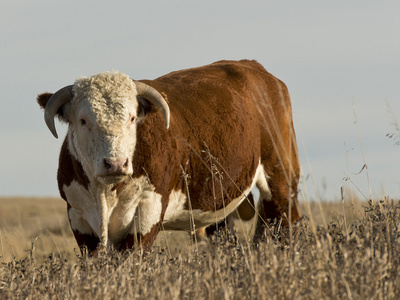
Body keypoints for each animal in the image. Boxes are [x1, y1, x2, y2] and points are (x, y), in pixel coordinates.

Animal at [36, 59, 300, 254]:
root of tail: (254, 68)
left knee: (288, 226)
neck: (106, 194)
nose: (116, 164)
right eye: (83, 121)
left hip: (281, 178)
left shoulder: (148, 211)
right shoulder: (78, 217)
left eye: (132, 118)